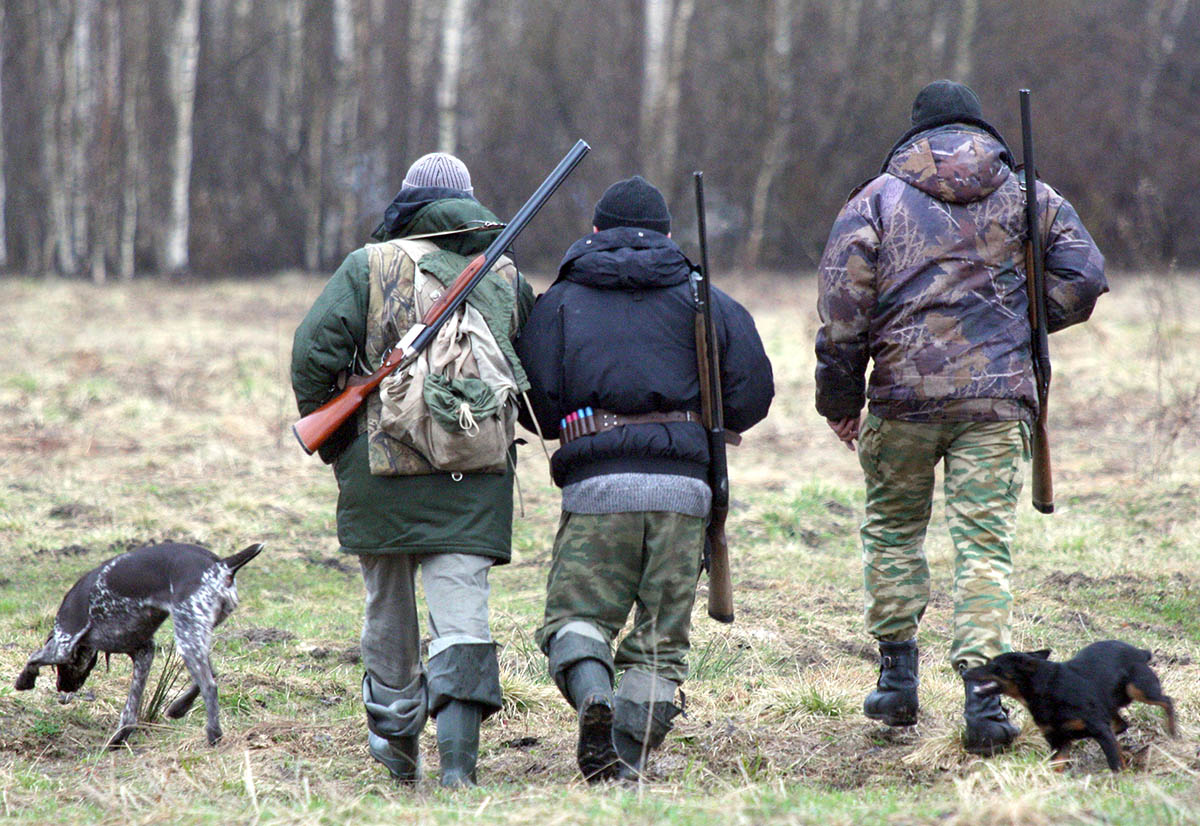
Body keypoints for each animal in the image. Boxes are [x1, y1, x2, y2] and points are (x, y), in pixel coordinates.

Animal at [14, 542, 262, 749]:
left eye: (61, 669)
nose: (62, 688)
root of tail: (222, 565)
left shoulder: (63, 643)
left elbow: (34, 657)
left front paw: (24, 680)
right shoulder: (144, 652)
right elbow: (131, 707)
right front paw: (119, 737)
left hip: (187, 636)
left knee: (209, 685)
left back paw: (213, 734)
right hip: (195, 634)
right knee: (210, 675)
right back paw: (178, 707)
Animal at [960, 643, 1176, 773]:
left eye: (995, 667)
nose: (964, 672)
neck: (1048, 688)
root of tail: (1140, 652)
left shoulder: (1099, 729)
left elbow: (1115, 761)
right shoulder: (1057, 741)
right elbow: (1056, 765)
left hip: (1139, 689)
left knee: (1167, 701)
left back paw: (1173, 733)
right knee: (1121, 724)